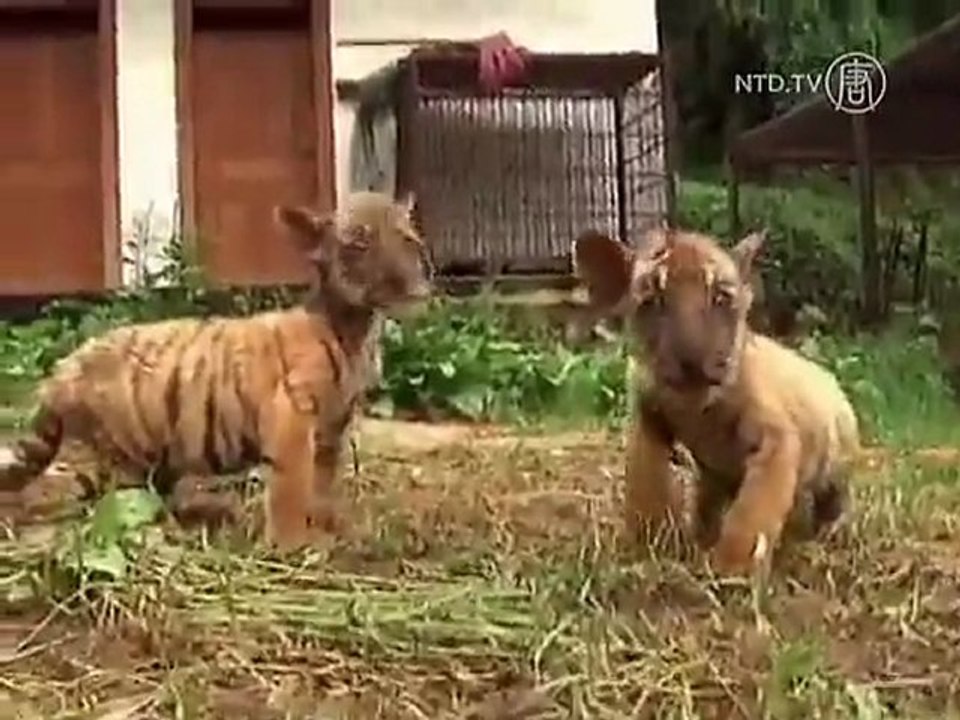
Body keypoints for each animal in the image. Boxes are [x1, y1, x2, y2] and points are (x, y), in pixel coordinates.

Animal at [0, 191, 433, 551]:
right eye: (359, 245)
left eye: (407, 240)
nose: (410, 283)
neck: (357, 330)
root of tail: (61, 370)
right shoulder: (292, 415)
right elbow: (293, 485)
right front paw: (293, 543)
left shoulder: (333, 426)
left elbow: (323, 483)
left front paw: (331, 527)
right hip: (118, 454)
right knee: (101, 505)